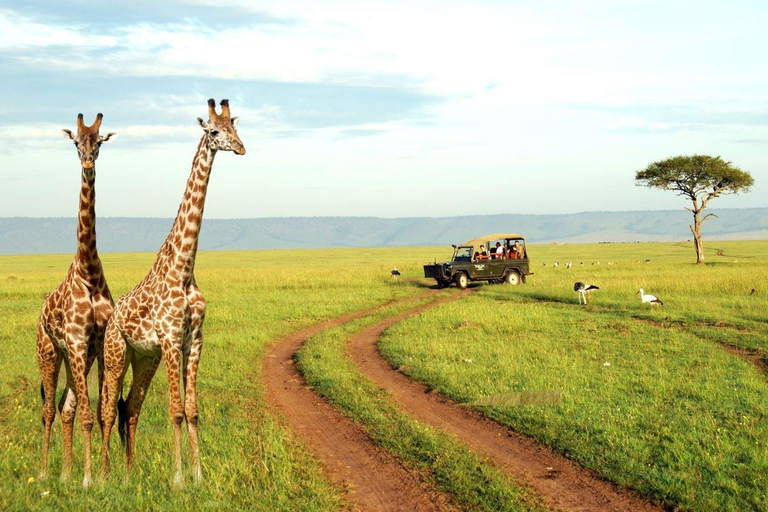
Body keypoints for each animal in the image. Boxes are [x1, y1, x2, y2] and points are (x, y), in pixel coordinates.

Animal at [100, 99, 246, 484]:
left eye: (236, 128)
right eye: (214, 131)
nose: (241, 148)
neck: (184, 269)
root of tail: (111, 316)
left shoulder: (193, 340)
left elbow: (192, 410)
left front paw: (198, 475)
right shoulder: (169, 340)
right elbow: (176, 410)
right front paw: (178, 479)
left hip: (143, 358)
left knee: (129, 407)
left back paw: (128, 474)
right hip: (116, 354)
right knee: (107, 407)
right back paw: (102, 475)